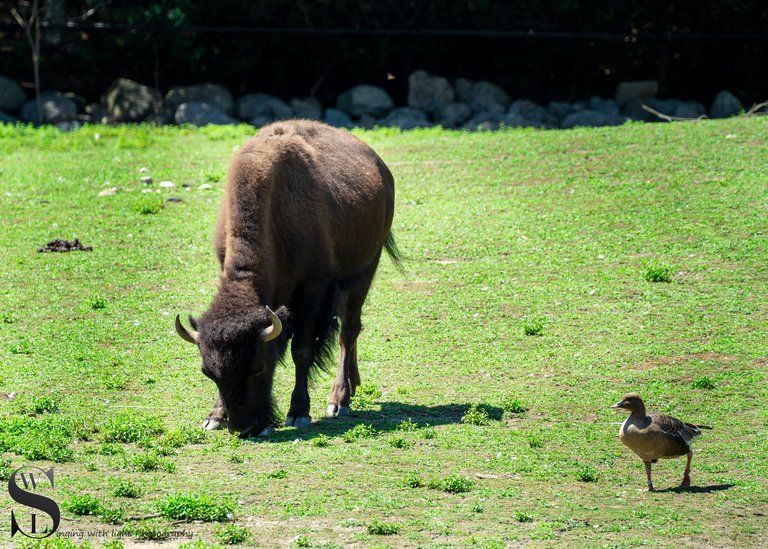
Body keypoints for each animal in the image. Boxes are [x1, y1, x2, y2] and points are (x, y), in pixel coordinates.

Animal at [175, 120, 402, 436]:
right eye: (208, 372)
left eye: (257, 367)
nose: (244, 428)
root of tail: (380, 166)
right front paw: (214, 416)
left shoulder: (313, 291)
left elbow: (301, 351)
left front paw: (298, 413)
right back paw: (353, 385)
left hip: (363, 273)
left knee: (349, 330)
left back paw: (339, 400)